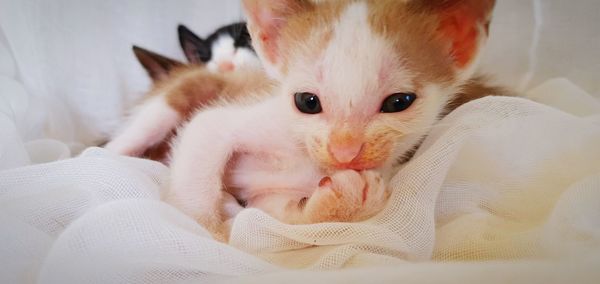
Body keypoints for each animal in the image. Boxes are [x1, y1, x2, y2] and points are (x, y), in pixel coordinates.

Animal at [165, 0, 506, 242]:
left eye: (398, 102)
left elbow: (275, 222)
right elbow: (203, 140)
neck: (308, 160)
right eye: (307, 101)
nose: (345, 151)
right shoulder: (240, 119)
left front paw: (341, 206)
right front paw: (213, 234)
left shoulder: (268, 200)